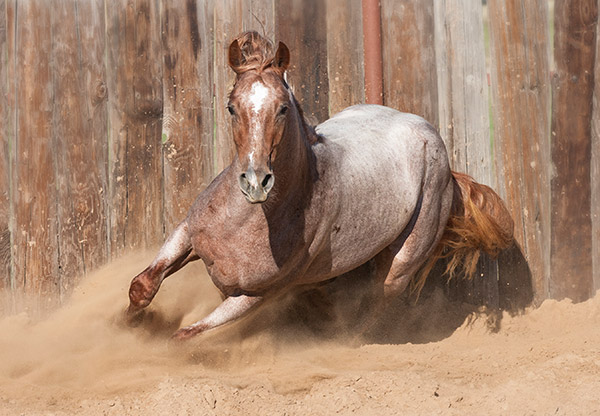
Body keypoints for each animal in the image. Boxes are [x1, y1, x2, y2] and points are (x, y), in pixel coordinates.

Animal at [124, 30, 512, 340]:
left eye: (282, 108)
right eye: (232, 107)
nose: (255, 183)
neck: (247, 221)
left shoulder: (257, 295)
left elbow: (186, 334)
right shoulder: (188, 233)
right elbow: (142, 286)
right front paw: (127, 326)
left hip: (402, 263)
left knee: (374, 311)